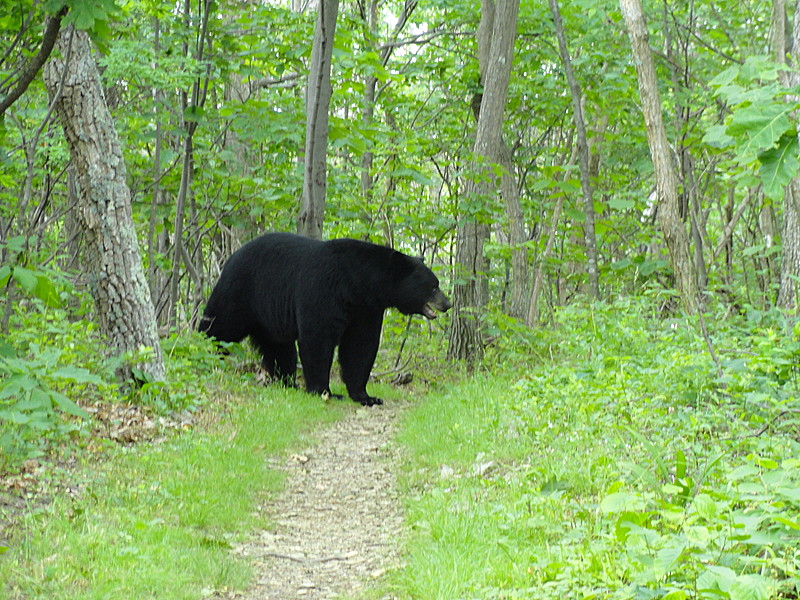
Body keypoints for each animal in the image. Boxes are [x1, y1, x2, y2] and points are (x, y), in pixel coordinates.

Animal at [199, 232, 450, 406]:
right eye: (433, 286)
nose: (447, 304)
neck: (356, 283)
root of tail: (232, 256)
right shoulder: (323, 289)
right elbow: (317, 338)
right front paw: (324, 391)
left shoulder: (366, 309)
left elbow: (361, 346)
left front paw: (366, 396)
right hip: (240, 293)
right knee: (219, 326)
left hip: (269, 319)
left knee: (279, 348)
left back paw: (288, 382)